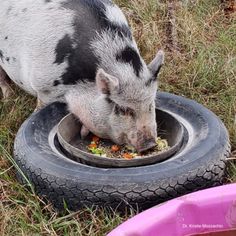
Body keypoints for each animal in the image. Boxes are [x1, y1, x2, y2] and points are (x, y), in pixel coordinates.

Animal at [0, 0, 164, 152]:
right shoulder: (43, 87)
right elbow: (39, 108)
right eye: (123, 109)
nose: (150, 145)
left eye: (151, 104)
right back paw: (8, 98)